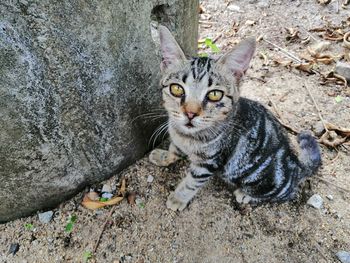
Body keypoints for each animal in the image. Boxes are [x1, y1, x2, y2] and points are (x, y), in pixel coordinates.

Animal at [149, 25, 322, 212]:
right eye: (177, 89)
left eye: (215, 95)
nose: (190, 113)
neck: (187, 136)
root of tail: (296, 166)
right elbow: (174, 149)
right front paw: (164, 156)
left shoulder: (209, 163)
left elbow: (191, 183)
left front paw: (178, 198)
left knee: (287, 193)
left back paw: (245, 194)